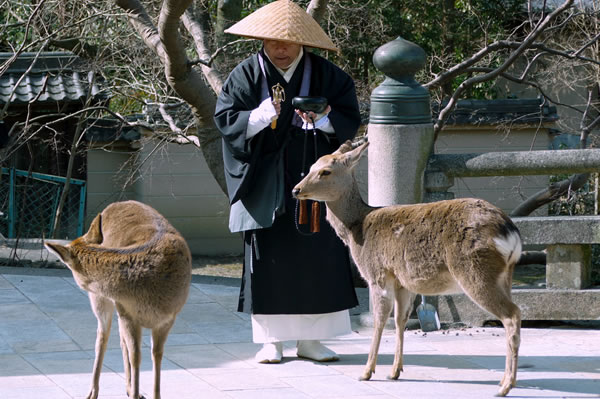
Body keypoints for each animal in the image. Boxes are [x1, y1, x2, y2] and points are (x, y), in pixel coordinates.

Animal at [45, 202, 191, 399]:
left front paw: (150, 394)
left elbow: (157, 354)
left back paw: (127, 389)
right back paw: (93, 392)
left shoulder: (168, 318)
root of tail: (115, 204)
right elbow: (136, 356)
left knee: (120, 341)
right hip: (103, 299)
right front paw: (136, 393)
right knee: (103, 337)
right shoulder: (129, 314)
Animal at [292, 141, 524, 396]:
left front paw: (367, 372)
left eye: (325, 171)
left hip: (475, 271)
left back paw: (505, 385)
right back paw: (504, 382)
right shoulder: (404, 282)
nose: (296, 190)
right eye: (311, 167)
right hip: (505, 275)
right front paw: (394, 372)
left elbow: (379, 321)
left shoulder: (378, 274)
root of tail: (510, 232)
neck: (356, 229)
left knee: (512, 315)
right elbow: (399, 321)